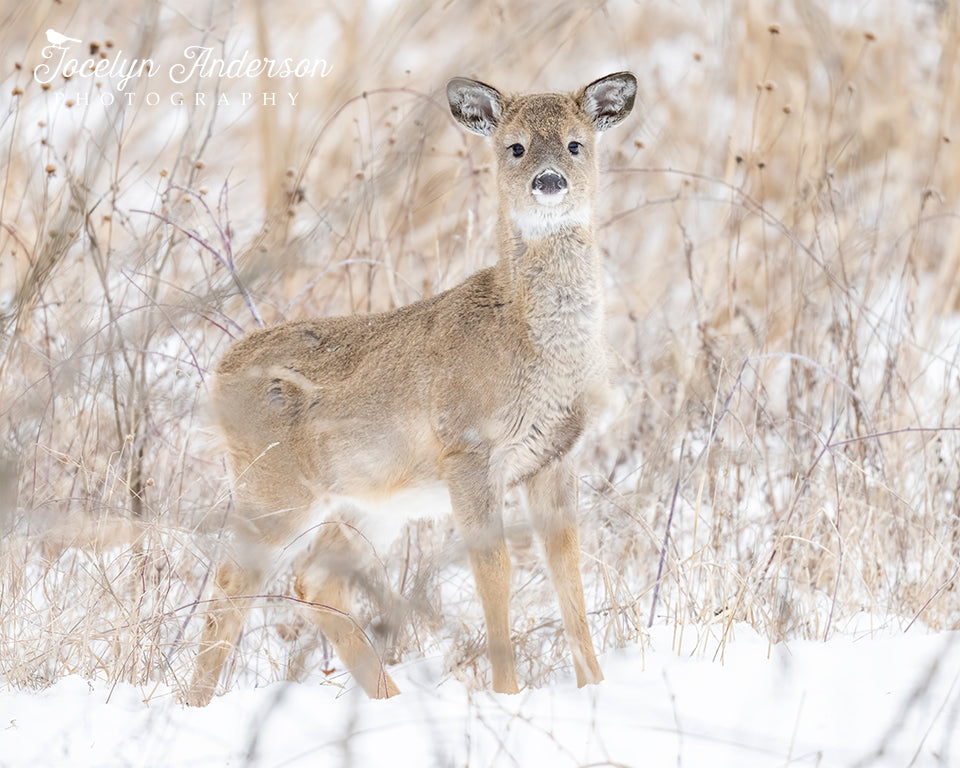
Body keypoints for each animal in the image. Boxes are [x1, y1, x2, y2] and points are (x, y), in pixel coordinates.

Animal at [186, 71, 637, 706]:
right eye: (515, 146)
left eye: (576, 143)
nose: (549, 181)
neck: (532, 342)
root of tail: (219, 371)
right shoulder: (467, 448)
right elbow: (494, 570)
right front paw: (506, 696)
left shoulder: (555, 456)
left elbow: (568, 571)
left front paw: (593, 688)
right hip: (271, 485)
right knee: (229, 584)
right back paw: (196, 704)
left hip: (369, 501)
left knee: (314, 579)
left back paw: (388, 698)